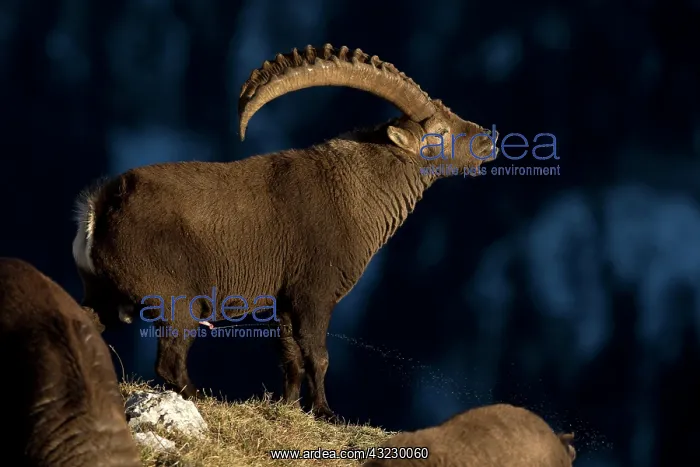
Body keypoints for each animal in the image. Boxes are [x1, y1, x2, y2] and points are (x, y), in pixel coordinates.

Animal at [71, 43, 499, 421]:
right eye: (439, 131)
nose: (487, 139)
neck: (357, 190)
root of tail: (101, 205)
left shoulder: (283, 303)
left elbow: (290, 357)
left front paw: (289, 406)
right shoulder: (314, 294)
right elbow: (318, 355)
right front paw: (326, 412)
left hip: (105, 294)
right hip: (176, 300)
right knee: (169, 360)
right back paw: (202, 396)